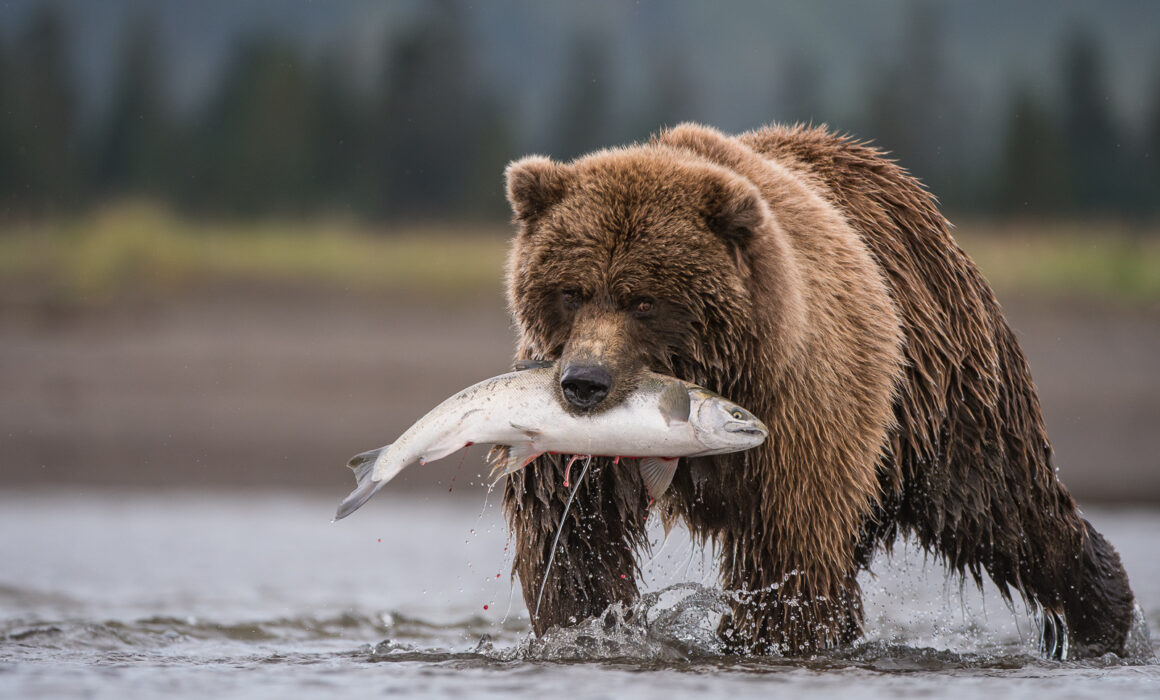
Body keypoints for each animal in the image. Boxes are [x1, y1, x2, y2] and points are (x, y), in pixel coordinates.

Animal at [499, 122, 1137, 657]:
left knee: (1001, 505)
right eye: (572, 291)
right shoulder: (571, 439)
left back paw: (1102, 614)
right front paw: (588, 628)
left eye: (644, 302)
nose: (585, 384)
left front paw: (771, 638)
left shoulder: (795, 416)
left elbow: (788, 547)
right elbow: (573, 533)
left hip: (944, 386)